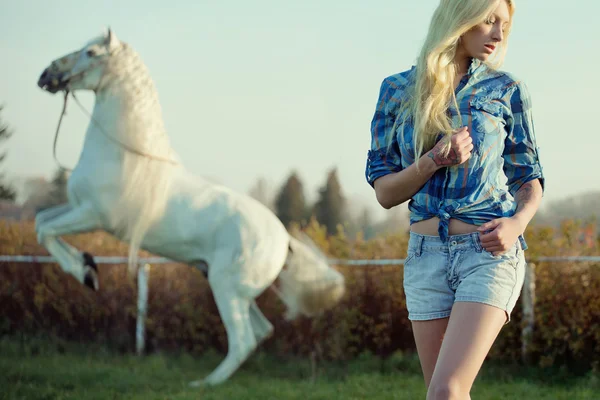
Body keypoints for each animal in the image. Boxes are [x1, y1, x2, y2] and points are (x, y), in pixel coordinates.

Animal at [36, 27, 346, 384]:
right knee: (260, 331)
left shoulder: (93, 215)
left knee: (243, 340)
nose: (46, 76)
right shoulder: (76, 207)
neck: (121, 154)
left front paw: (86, 273)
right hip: (233, 290)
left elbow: (45, 232)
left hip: (227, 288)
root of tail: (284, 239)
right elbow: (40, 221)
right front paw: (87, 266)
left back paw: (204, 384)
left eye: (90, 53)